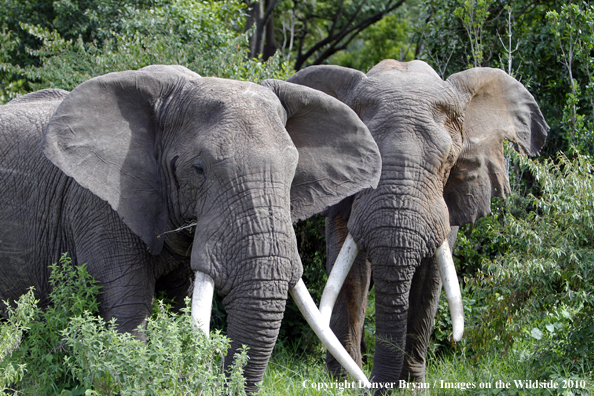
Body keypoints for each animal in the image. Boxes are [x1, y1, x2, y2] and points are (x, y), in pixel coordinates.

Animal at [286, 60, 544, 388]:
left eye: (448, 161)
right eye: (367, 157)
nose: (378, 386)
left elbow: (430, 277)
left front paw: (410, 385)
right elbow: (350, 275)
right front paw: (343, 383)